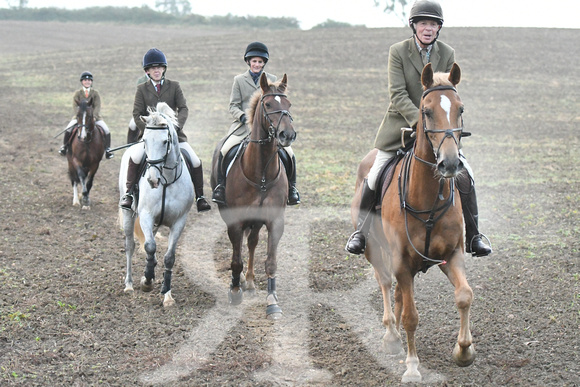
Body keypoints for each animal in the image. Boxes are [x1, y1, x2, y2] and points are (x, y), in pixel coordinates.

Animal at [118, 101, 195, 308]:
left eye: (164, 142)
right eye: (144, 141)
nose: (153, 180)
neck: (166, 179)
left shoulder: (179, 221)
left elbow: (169, 257)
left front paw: (167, 294)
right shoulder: (146, 215)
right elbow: (150, 247)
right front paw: (147, 281)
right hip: (128, 214)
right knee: (130, 246)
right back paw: (129, 284)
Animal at [211, 74, 296, 320]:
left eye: (288, 104)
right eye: (267, 105)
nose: (287, 135)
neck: (261, 174)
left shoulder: (275, 221)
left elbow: (270, 261)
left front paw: (272, 302)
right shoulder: (236, 220)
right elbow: (235, 259)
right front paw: (234, 291)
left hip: (257, 221)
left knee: (251, 243)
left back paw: (248, 282)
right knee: (239, 247)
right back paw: (240, 283)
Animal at [352, 62, 474, 384]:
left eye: (460, 108)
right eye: (426, 111)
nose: (450, 164)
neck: (427, 197)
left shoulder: (452, 255)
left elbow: (464, 296)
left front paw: (464, 351)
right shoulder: (402, 262)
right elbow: (410, 317)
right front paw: (411, 366)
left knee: (396, 292)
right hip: (375, 251)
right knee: (385, 284)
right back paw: (390, 336)